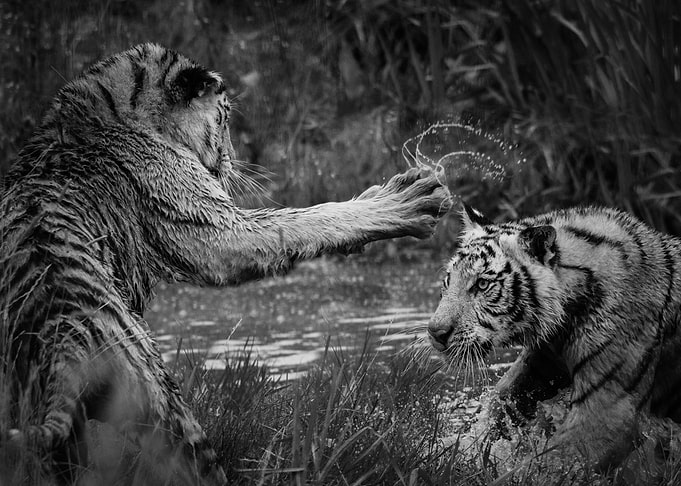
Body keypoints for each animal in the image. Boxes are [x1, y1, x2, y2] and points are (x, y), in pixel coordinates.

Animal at [0, 42, 452, 485]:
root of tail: (63, 336)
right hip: (162, 402)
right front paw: (405, 202)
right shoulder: (212, 227)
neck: (108, 107)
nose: (232, 159)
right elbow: (304, 219)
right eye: (225, 117)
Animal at [427, 204, 681, 473]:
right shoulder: (542, 362)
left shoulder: (609, 411)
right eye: (448, 281)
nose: (435, 332)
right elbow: (500, 402)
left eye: (482, 284)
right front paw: (461, 452)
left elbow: (553, 462)